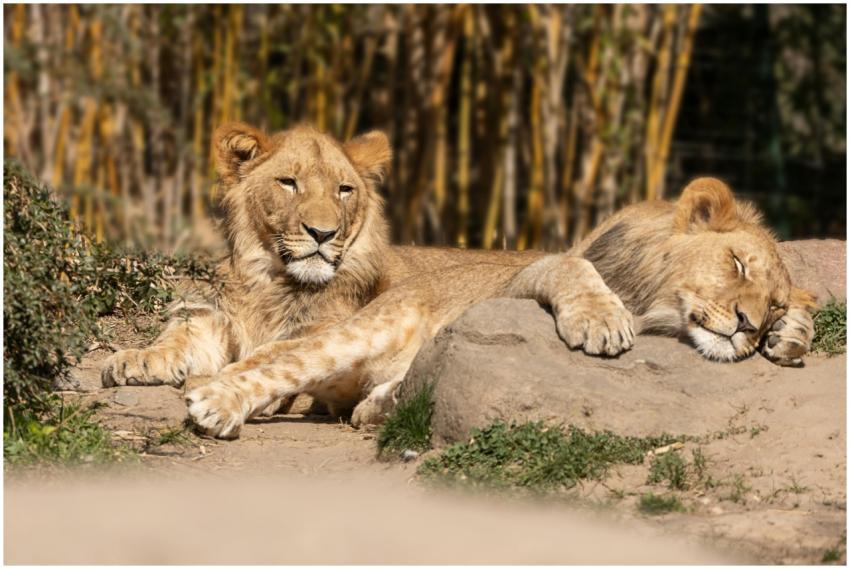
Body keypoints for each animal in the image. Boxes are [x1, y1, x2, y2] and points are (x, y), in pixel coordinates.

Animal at [100, 122, 816, 439]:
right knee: (277, 361)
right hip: (375, 324)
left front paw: (794, 337)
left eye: (771, 302)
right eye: (737, 264)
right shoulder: (522, 275)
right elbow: (570, 266)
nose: (750, 327)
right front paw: (600, 319)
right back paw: (216, 399)